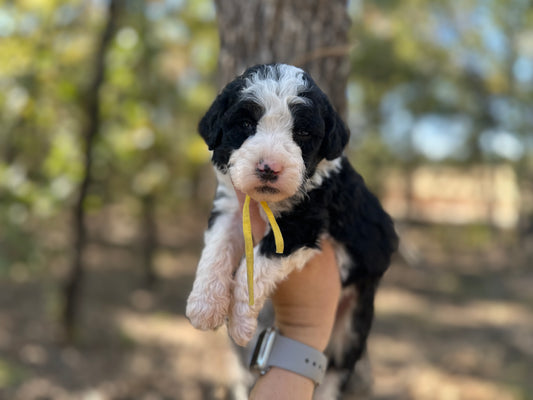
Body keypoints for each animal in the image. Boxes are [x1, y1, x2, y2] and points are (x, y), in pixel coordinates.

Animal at [185, 63, 396, 396]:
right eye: (245, 123)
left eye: (302, 132)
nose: (268, 167)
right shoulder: (230, 208)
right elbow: (216, 250)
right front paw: (205, 304)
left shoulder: (303, 225)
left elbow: (255, 266)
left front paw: (241, 322)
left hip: (353, 325)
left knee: (335, 370)